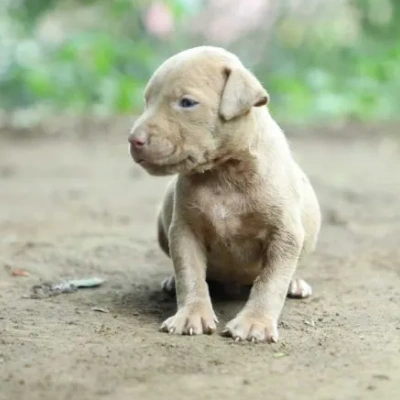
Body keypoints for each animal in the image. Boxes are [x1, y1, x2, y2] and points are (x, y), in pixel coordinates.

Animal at [130, 46, 320, 340]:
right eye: (147, 101)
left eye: (187, 103)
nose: (133, 140)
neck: (223, 173)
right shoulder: (184, 230)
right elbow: (190, 274)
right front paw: (191, 315)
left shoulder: (285, 233)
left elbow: (271, 281)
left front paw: (255, 322)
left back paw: (296, 283)